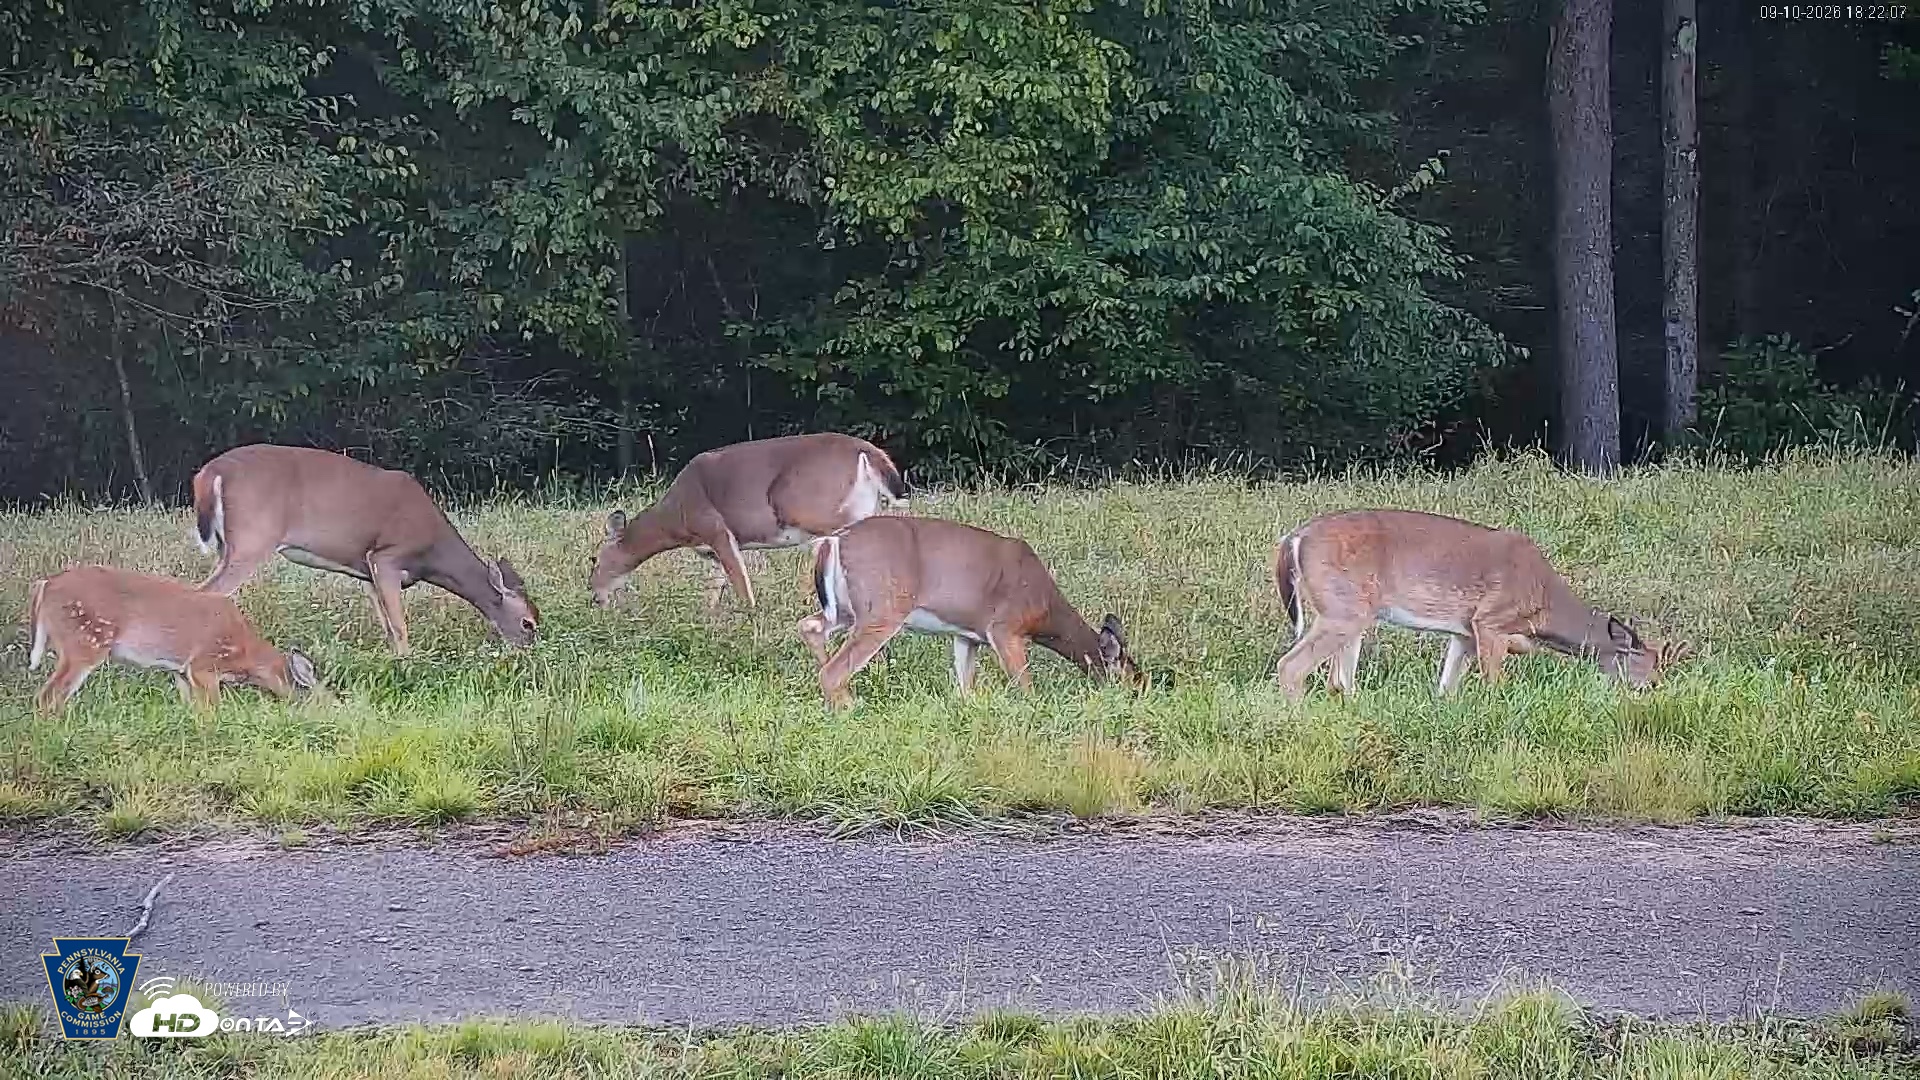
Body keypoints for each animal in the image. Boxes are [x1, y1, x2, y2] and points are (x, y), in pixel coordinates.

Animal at [26, 565, 322, 714]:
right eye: (325, 703)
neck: (246, 656)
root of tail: (45, 585)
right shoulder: (204, 665)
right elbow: (212, 710)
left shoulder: (181, 672)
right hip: (84, 641)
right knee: (49, 696)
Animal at [191, 444, 538, 657]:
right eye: (528, 623)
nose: (530, 651)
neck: (432, 553)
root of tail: (209, 473)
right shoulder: (386, 556)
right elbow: (399, 625)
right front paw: (408, 663)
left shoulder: (366, 571)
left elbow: (386, 626)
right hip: (253, 538)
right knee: (207, 593)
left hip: (229, 545)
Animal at [590, 433, 908, 614]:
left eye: (593, 559)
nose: (594, 598)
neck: (676, 517)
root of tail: (869, 452)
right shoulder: (710, 552)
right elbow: (713, 589)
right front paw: (707, 623)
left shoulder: (716, 528)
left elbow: (741, 584)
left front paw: (749, 622)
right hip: (862, 506)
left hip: (812, 507)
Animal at [796, 515, 1143, 709]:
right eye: (1133, 684)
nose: (1137, 702)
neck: (1043, 607)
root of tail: (832, 540)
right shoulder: (1004, 627)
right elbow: (1025, 687)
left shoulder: (966, 635)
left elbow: (965, 688)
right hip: (881, 609)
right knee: (832, 670)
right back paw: (850, 707)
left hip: (845, 611)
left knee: (810, 627)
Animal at [1271, 509, 1689, 698]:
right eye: (1648, 666)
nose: (1657, 690)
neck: (1544, 605)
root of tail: (1294, 538)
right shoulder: (1490, 621)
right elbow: (1496, 683)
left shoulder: (1463, 632)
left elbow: (1447, 687)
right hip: (1343, 608)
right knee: (1291, 666)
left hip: (1352, 613)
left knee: (1339, 681)